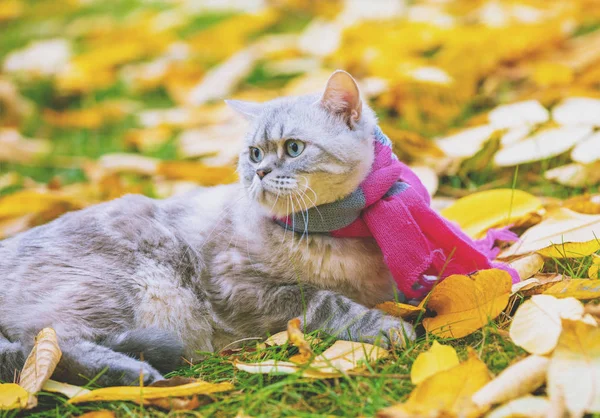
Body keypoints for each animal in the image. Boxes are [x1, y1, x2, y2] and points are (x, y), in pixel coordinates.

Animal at [0, 70, 412, 386]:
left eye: (293, 148)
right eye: (255, 154)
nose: (260, 172)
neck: (336, 230)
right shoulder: (246, 288)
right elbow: (333, 305)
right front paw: (390, 328)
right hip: (117, 289)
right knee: (45, 346)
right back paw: (138, 374)